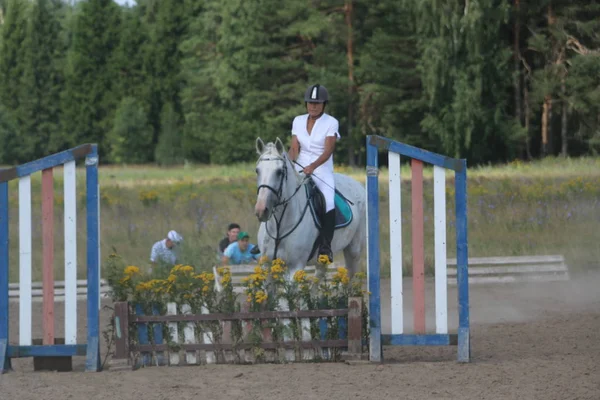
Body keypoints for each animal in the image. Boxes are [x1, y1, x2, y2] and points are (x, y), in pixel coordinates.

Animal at [252, 138, 366, 282]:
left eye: (279, 172)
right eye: (257, 171)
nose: (261, 210)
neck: (279, 224)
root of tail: (357, 184)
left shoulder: (295, 267)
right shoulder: (267, 266)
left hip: (354, 250)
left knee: (349, 275)